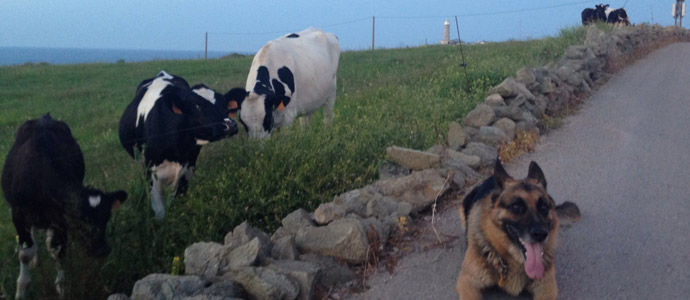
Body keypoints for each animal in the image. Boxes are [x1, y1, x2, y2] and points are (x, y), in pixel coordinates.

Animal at [1, 113, 127, 298]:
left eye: (107, 217)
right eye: (78, 219)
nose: (102, 249)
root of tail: (45, 117)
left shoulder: (60, 220)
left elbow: (59, 251)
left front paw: (62, 289)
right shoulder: (17, 213)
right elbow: (25, 253)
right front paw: (21, 291)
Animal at [117, 71, 238, 219]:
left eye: (224, 104)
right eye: (196, 106)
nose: (230, 125)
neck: (177, 150)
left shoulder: (187, 170)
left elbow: (176, 201)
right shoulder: (152, 174)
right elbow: (159, 211)